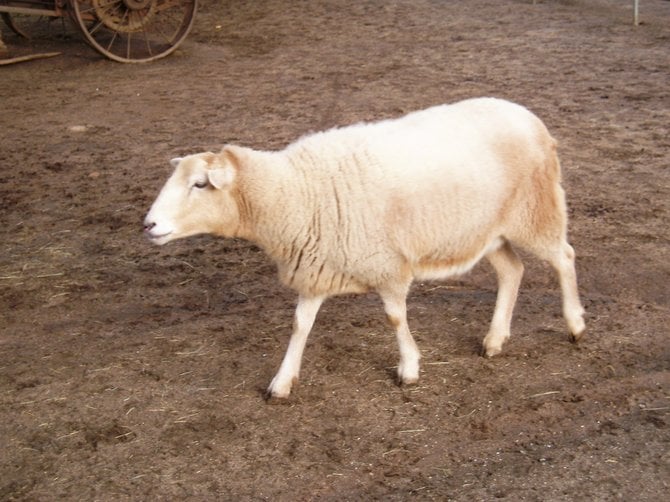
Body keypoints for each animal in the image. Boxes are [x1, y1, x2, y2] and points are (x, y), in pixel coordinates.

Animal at [144, 96, 584, 398]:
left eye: (200, 184)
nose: (149, 224)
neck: (296, 192)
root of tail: (528, 116)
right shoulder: (316, 270)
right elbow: (300, 325)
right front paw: (282, 382)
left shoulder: (387, 264)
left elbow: (394, 317)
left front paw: (409, 368)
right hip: (487, 230)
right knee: (513, 271)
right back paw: (494, 340)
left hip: (536, 211)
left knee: (563, 258)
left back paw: (575, 324)